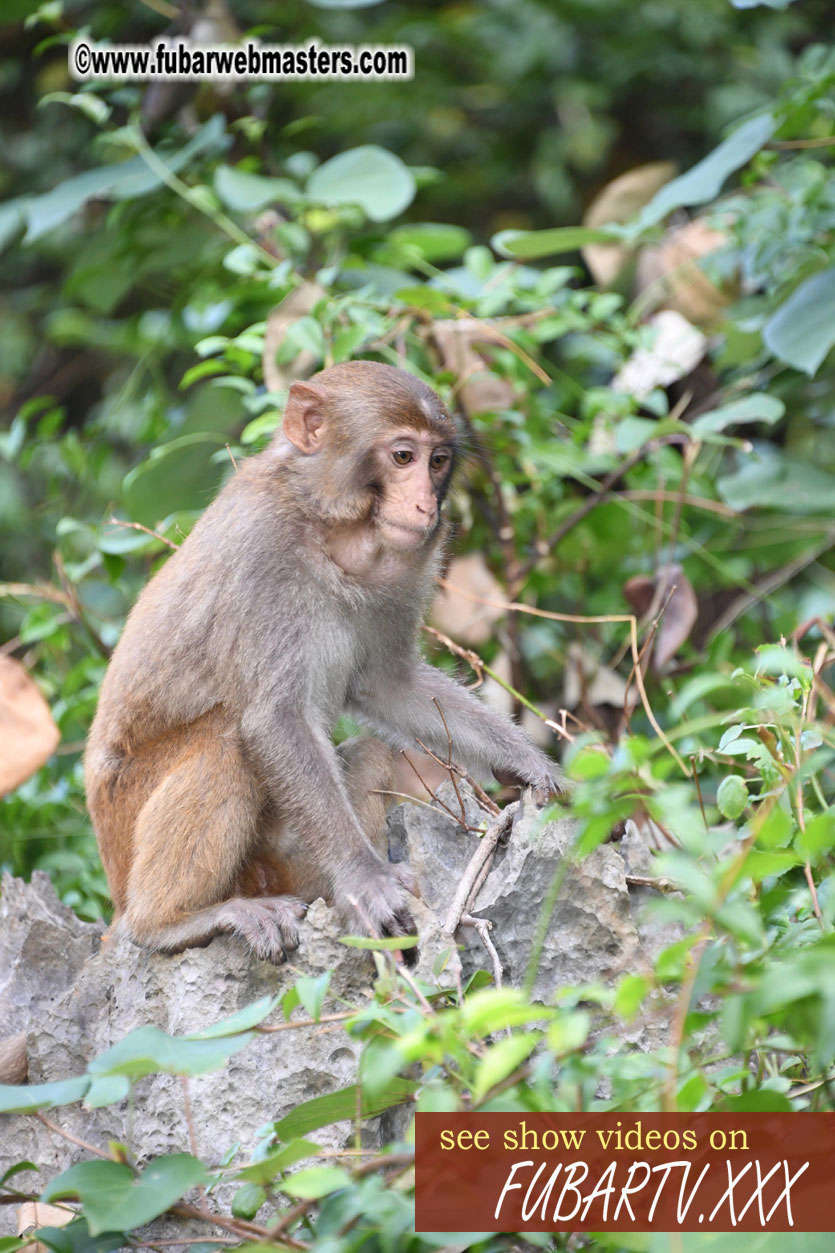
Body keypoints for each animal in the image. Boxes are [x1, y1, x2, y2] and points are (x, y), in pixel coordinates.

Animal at [84, 358, 561, 962]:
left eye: (438, 461)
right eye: (402, 456)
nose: (427, 504)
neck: (327, 523)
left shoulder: (406, 567)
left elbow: (389, 684)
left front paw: (527, 762)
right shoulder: (261, 552)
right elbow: (275, 719)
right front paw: (366, 880)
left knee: (373, 756)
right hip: (128, 828)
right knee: (223, 744)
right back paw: (171, 923)